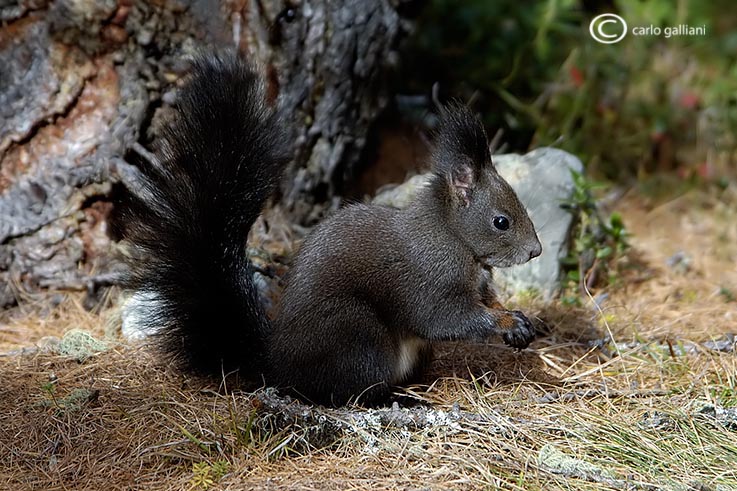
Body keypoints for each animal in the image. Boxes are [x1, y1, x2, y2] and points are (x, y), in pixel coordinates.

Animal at [119, 52, 540, 408]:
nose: (535, 251)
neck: (456, 240)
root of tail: (278, 364)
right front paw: (504, 322)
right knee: (349, 393)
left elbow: (486, 301)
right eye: (501, 221)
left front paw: (516, 319)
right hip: (357, 334)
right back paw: (400, 401)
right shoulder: (430, 281)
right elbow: (446, 318)